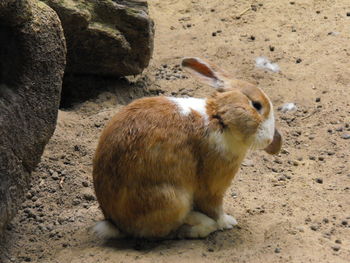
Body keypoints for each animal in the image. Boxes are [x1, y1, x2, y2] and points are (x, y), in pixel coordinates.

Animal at [92, 56, 282, 240]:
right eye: (256, 105)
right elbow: (215, 209)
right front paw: (228, 222)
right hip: (172, 200)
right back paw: (202, 226)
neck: (219, 119)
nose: (269, 139)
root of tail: (114, 223)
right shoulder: (212, 186)